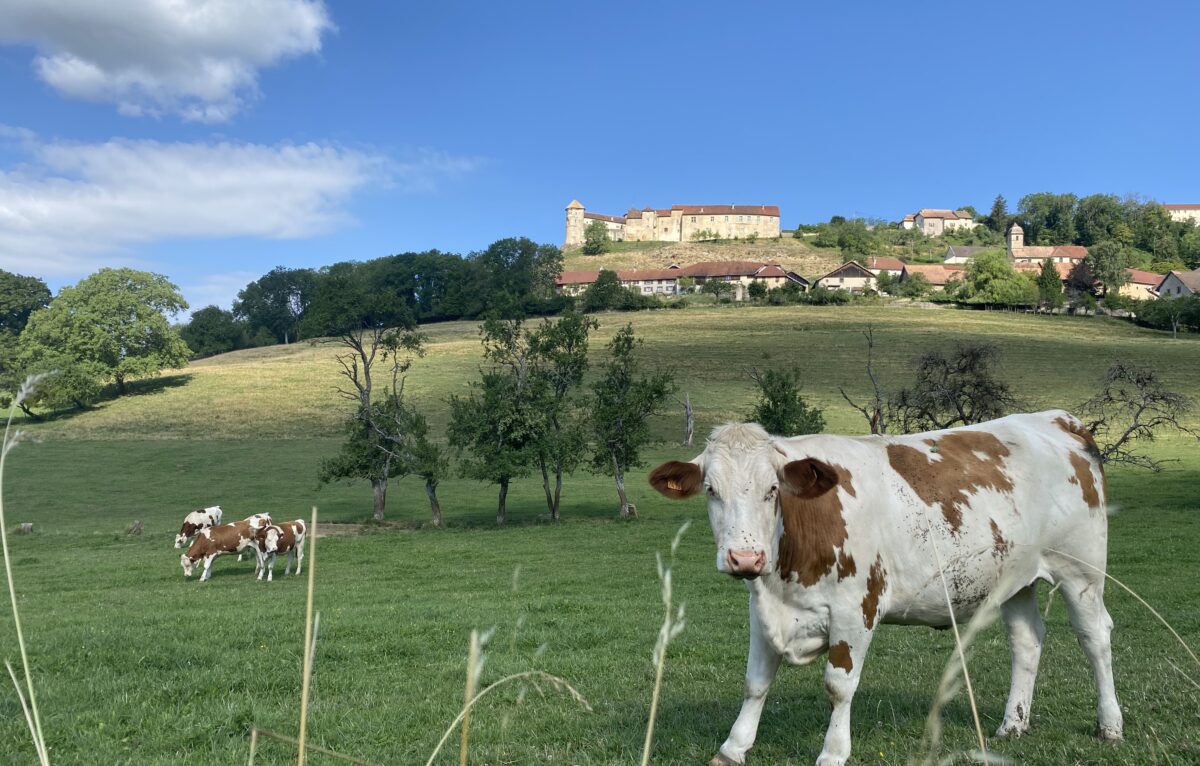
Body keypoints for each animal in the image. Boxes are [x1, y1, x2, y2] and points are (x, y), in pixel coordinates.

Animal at [649, 410, 1121, 766]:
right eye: (711, 490)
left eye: (772, 489)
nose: (745, 558)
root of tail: (1058, 419)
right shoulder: (763, 608)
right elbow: (755, 681)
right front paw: (734, 747)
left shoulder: (856, 608)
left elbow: (838, 686)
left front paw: (833, 753)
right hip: (1015, 578)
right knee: (1026, 641)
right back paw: (1013, 724)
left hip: (1082, 570)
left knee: (1094, 636)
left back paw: (1110, 725)